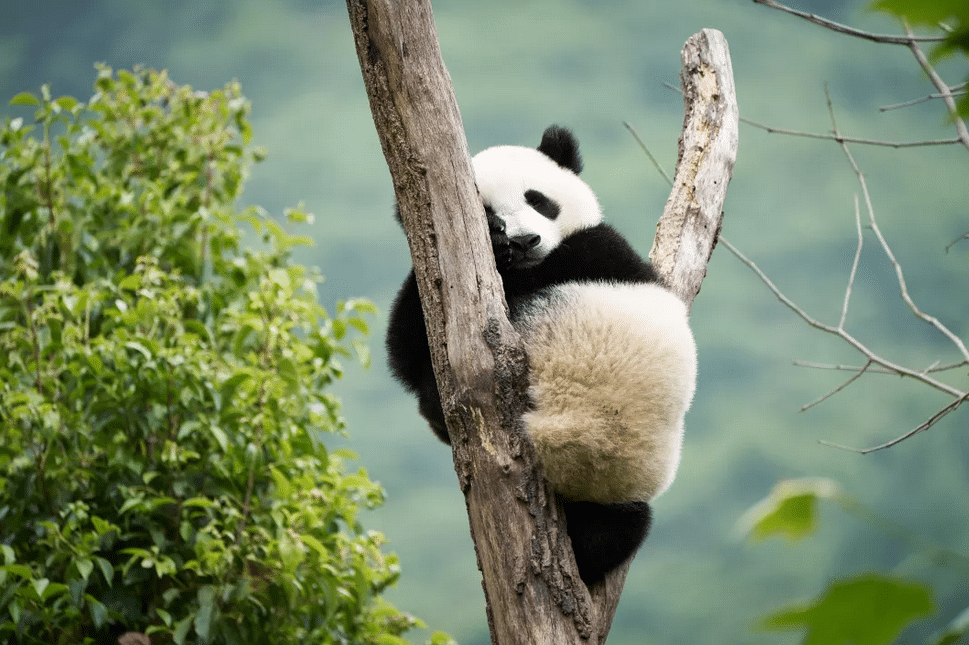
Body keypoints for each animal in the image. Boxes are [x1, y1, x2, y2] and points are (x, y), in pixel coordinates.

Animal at [386, 125, 697, 584]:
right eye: (488, 213)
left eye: (538, 199)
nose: (523, 240)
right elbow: (405, 350)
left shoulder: (597, 252)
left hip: (618, 480)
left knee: (615, 531)